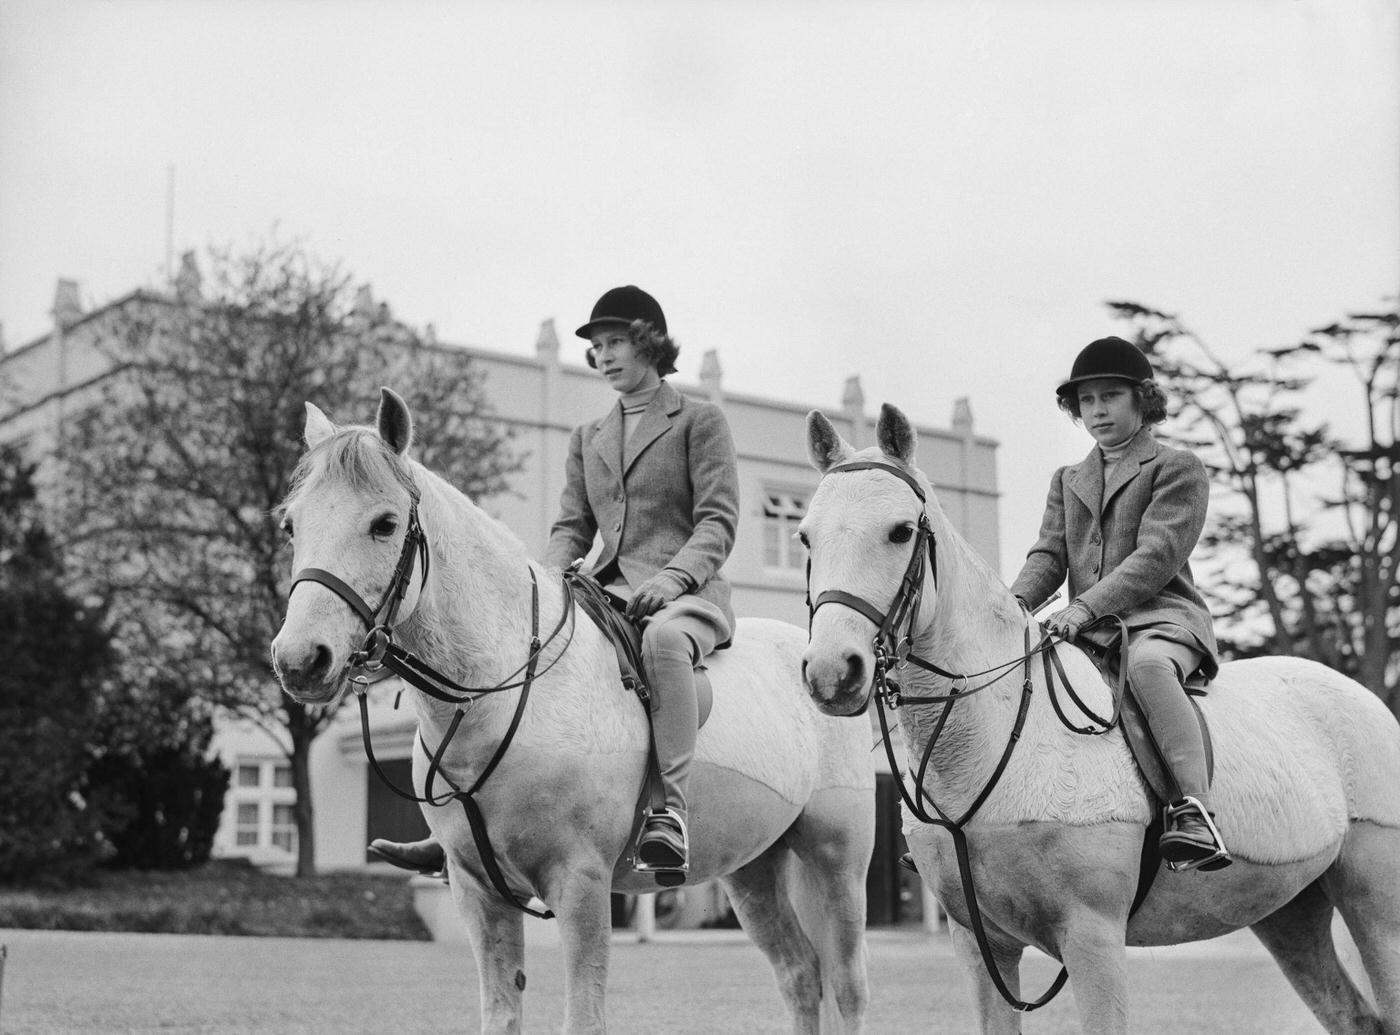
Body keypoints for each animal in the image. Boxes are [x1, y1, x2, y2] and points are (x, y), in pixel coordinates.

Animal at [270, 389, 873, 1035]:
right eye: (290, 525)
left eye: (384, 524)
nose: (299, 660)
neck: (498, 696)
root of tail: (819, 660)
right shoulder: (477, 890)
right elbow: (500, 1013)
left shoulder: (579, 882)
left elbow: (585, 1015)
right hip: (753, 867)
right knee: (799, 975)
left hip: (836, 862)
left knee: (846, 985)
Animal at [800, 406, 1400, 1035]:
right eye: (804, 536)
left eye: (900, 531)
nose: (832, 672)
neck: (996, 737)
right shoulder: (980, 945)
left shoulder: (1093, 937)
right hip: (1288, 911)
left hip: (1375, 903)